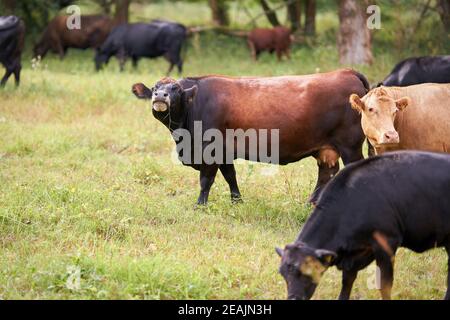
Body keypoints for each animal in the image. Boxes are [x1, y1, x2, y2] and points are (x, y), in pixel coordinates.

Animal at [131, 69, 370, 206]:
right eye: (154, 87)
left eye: (176, 89)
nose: (159, 95)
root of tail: (346, 71)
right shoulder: (224, 151)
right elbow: (230, 175)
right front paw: (237, 201)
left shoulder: (210, 149)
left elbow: (206, 179)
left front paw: (200, 205)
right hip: (327, 148)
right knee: (326, 172)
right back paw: (312, 203)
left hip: (350, 146)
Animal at [276, 150, 450, 300]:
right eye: (283, 273)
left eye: (305, 270)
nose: (293, 298)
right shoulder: (355, 254)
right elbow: (347, 282)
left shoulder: (387, 243)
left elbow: (384, 285)